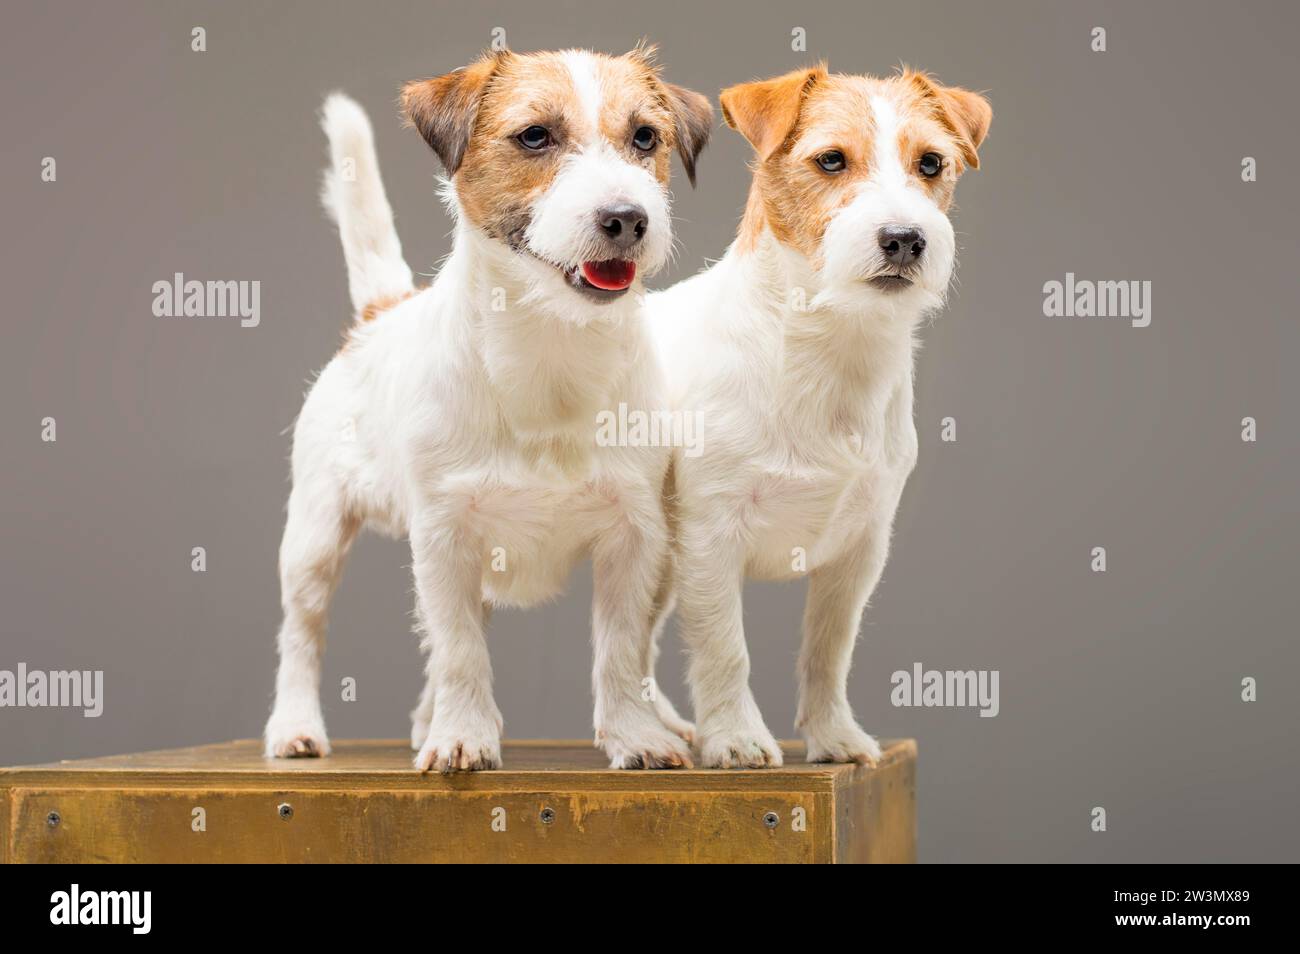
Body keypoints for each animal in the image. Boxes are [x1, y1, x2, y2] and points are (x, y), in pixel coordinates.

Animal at [263, 48, 712, 774]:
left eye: (646, 137)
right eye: (535, 136)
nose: (627, 218)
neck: (549, 353)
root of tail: (378, 314)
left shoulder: (634, 536)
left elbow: (621, 647)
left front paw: (634, 735)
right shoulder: (444, 537)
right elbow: (459, 649)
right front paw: (463, 737)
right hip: (314, 539)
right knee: (304, 634)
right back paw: (296, 726)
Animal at [650, 65, 993, 769]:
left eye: (931, 163)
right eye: (831, 160)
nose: (904, 238)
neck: (828, 347)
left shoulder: (858, 551)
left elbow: (828, 650)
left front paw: (834, 736)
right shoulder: (711, 539)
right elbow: (724, 648)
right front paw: (737, 737)